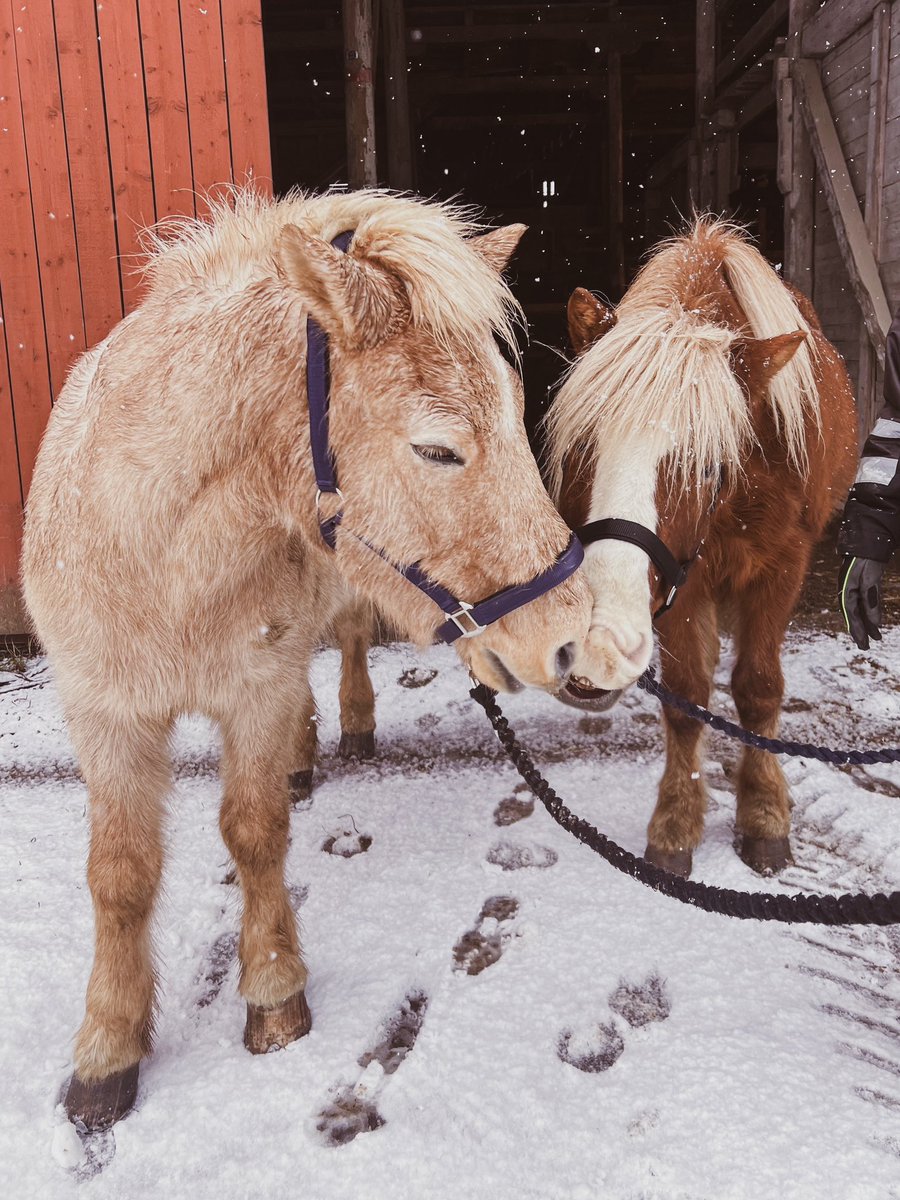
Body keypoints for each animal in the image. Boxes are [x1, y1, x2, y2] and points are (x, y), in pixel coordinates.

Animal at [22, 187, 594, 1130]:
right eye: (437, 449)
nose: (578, 638)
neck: (166, 555)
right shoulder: (103, 712)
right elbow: (121, 875)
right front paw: (106, 1049)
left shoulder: (256, 690)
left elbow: (255, 836)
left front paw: (272, 994)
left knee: (348, 648)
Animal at [544, 217, 857, 879]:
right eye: (582, 447)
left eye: (710, 467)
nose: (596, 642)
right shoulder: (682, 583)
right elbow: (688, 696)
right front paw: (677, 823)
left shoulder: (782, 567)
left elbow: (758, 688)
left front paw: (764, 815)